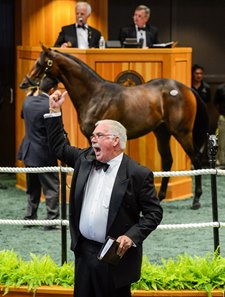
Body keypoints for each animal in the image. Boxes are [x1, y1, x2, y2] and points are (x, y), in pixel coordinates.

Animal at [19, 45, 209, 209]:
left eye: (39, 63)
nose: (24, 83)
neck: (94, 95)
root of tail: (186, 88)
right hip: (162, 132)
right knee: (167, 160)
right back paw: (160, 197)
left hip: (182, 132)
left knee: (196, 160)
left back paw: (197, 200)